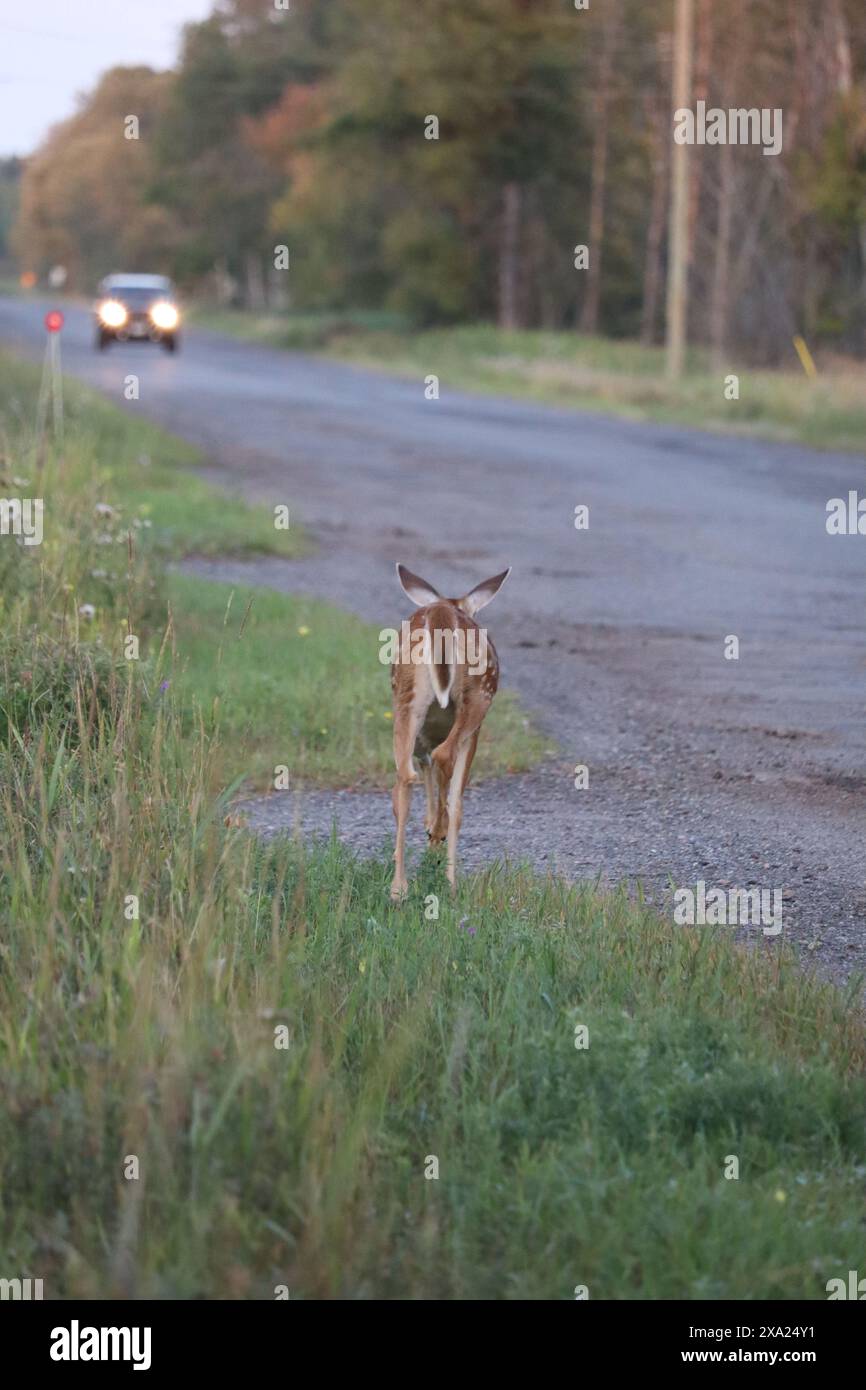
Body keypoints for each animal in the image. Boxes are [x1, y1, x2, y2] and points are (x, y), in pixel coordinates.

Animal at [389, 563, 511, 902]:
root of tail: (443, 611)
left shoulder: (422, 740)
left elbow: (424, 774)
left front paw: (430, 831)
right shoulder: (474, 732)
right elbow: (454, 799)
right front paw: (436, 835)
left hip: (407, 699)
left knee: (404, 778)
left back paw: (398, 888)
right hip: (477, 697)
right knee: (446, 762)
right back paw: (449, 882)